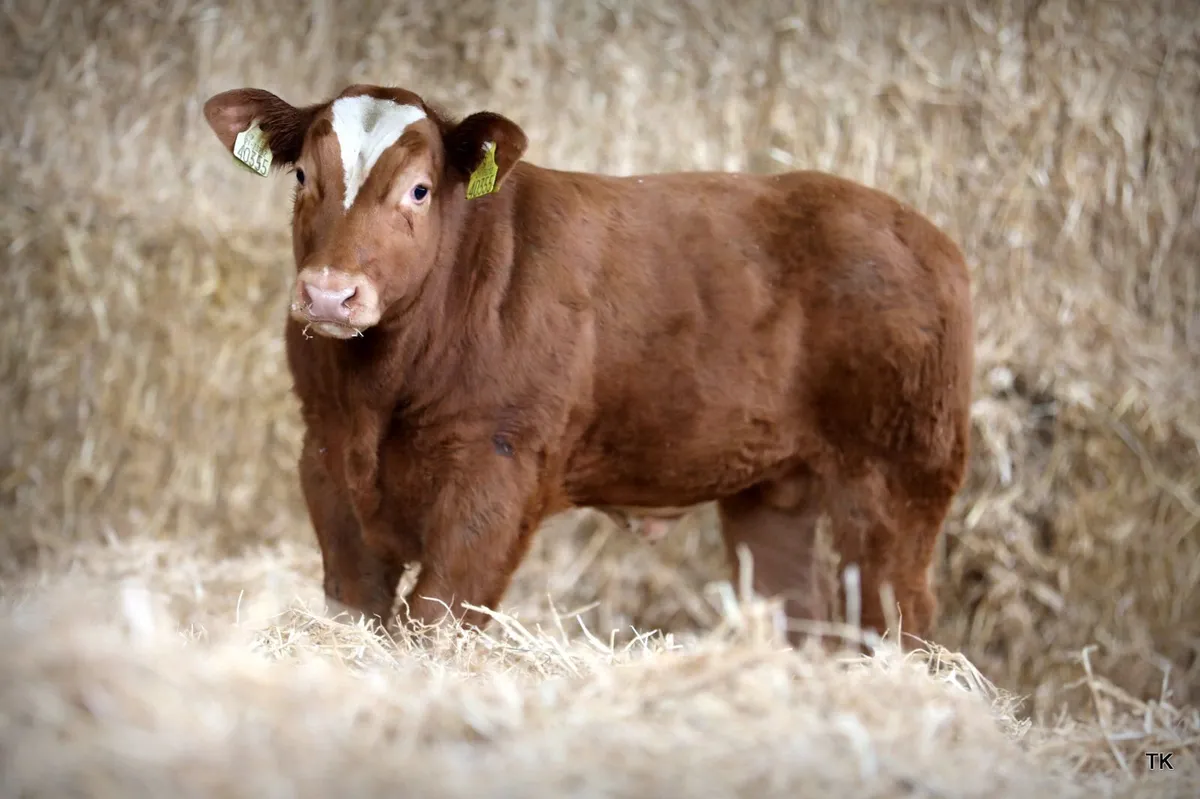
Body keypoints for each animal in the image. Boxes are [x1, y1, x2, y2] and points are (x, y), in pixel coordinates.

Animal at [202, 83, 974, 650]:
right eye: (304, 175)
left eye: (419, 189)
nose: (329, 292)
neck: (378, 394)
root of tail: (922, 231)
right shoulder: (326, 456)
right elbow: (357, 605)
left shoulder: (496, 471)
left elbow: (437, 615)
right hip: (773, 488)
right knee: (795, 609)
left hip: (900, 469)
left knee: (899, 613)